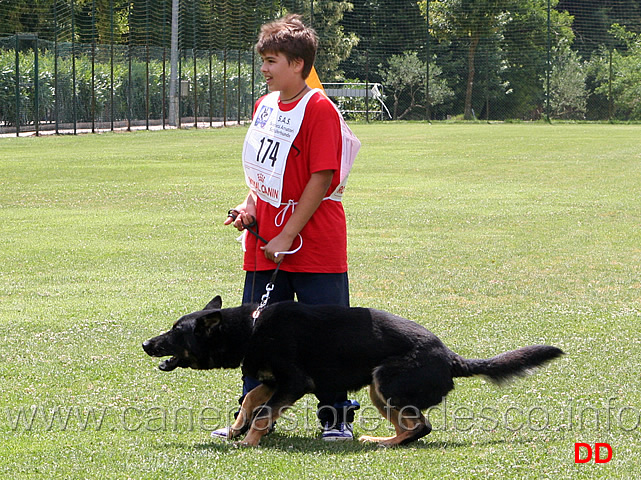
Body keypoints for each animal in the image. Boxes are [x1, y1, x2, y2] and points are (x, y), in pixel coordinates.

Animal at [142, 296, 564, 446]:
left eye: (176, 332)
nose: (146, 343)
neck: (251, 329)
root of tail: (450, 357)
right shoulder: (272, 381)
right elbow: (250, 403)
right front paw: (234, 431)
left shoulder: (294, 382)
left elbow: (262, 413)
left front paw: (247, 443)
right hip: (380, 391)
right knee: (412, 426)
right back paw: (382, 441)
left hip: (385, 382)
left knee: (422, 426)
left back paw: (386, 444)